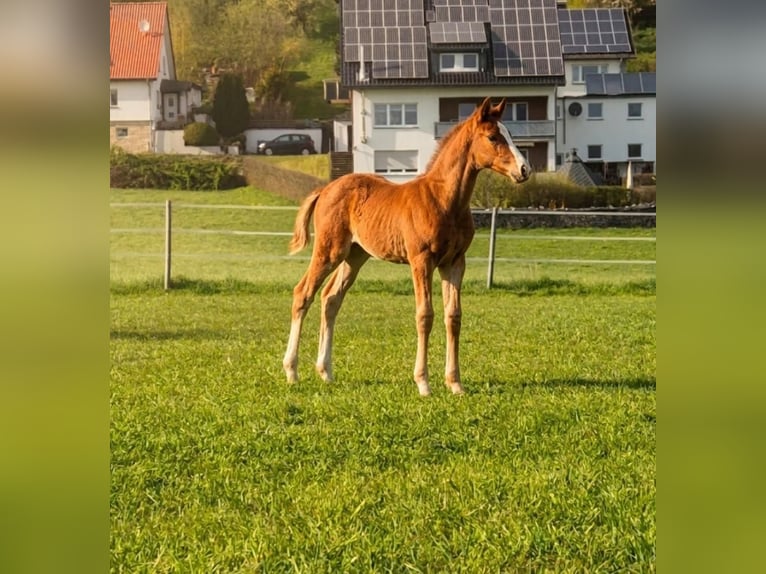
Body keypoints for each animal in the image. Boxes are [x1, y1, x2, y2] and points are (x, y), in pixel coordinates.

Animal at [283, 97, 530, 396]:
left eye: (510, 134)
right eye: (493, 137)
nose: (524, 170)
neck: (444, 199)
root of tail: (325, 190)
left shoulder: (455, 262)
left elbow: (453, 316)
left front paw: (455, 383)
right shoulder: (421, 260)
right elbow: (425, 315)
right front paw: (423, 383)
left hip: (355, 256)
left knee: (331, 299)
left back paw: (326, 372)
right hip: (329, 251)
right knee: (303, 293)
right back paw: (292, 371)